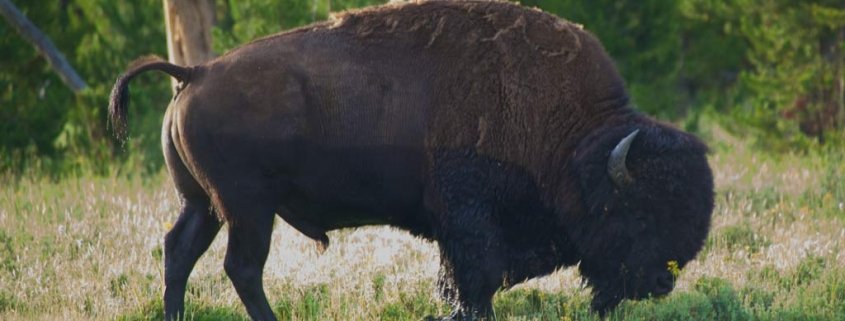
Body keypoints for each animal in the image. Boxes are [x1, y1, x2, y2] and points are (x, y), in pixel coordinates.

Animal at [105, 1, 712, 318]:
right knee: (242, 267)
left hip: (203, 203)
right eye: (638, 212)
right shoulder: (470, 221)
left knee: (179, 252)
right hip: (247, 208)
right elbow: (475, 278)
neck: (569, 137)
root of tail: (196, 72)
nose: (660, 282)